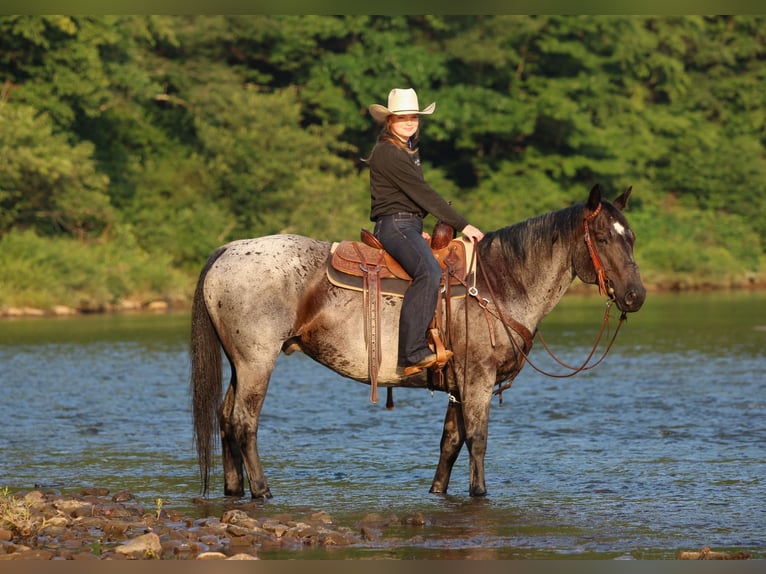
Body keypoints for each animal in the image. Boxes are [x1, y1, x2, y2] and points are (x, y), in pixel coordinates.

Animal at [190, 184, 646, 499]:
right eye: (602, 238)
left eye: (631, 237)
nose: (635, 296)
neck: (499, 284)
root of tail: (227, 250)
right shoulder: (477, 378)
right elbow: (477, 439)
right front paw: (479, 493)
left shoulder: (458, 382)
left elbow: (451, 442)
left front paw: (437, 492)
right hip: (257, 362)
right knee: (244, 421)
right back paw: (262, 490)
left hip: (239, 363)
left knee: (225, 416)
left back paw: (234, 489)